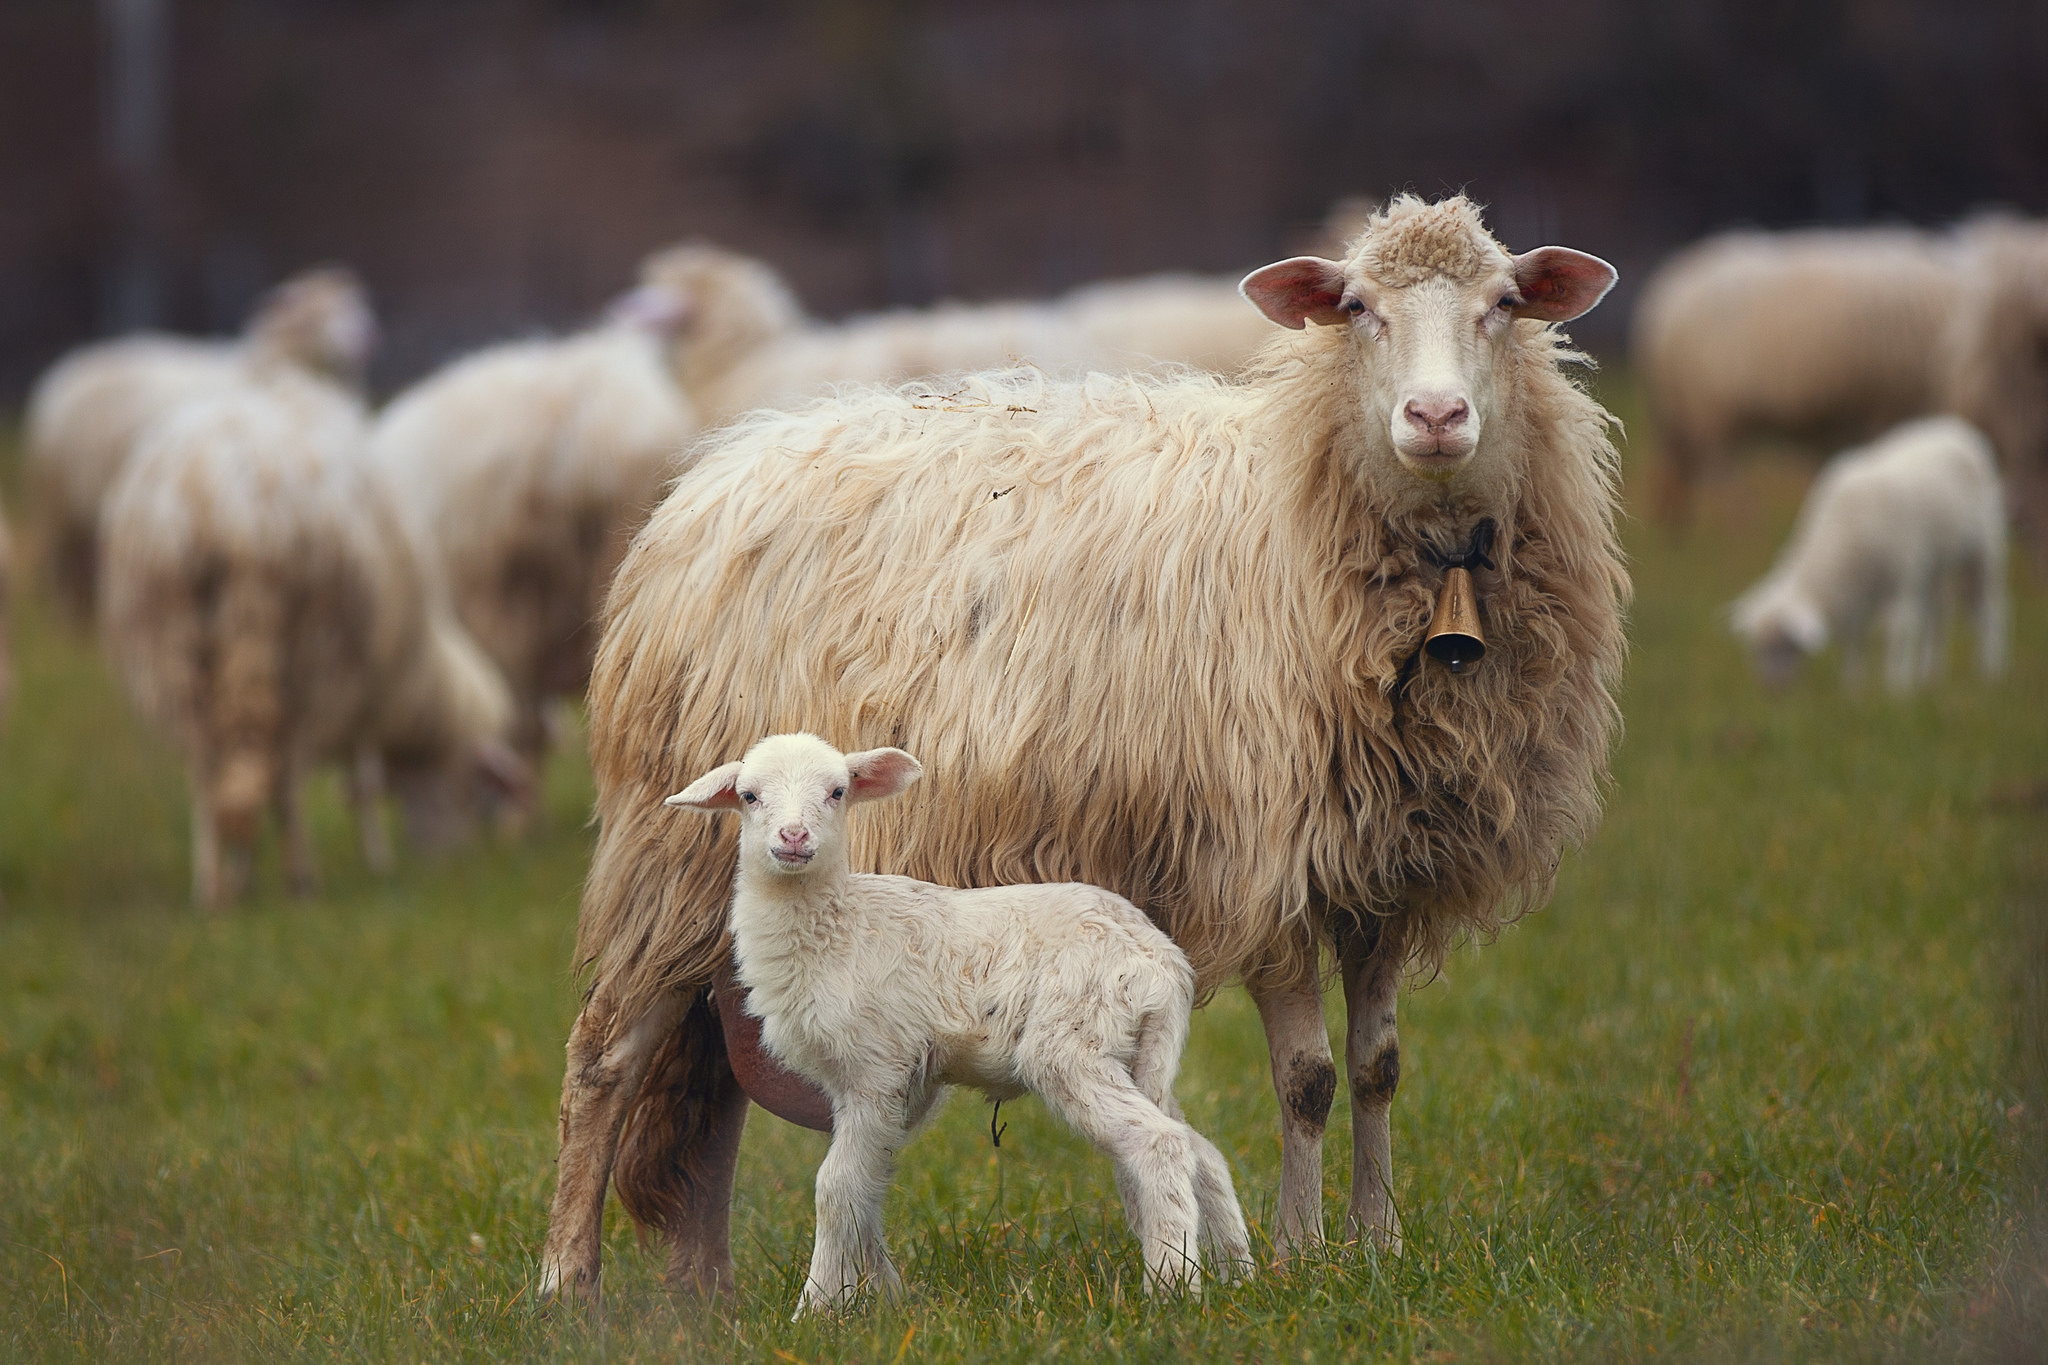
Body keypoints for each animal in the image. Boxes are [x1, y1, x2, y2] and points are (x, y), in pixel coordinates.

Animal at [663, 736, 1253, 1309]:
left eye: (836, 792)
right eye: (749, 796)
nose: (793, 836)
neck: (836, 927)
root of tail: (1163, 963)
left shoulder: (877, 1065)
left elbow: (836, 1186)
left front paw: (817, 1307)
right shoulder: (883, 1083)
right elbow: (866, 1184)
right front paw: (882, 1298)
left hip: (1073, 1042)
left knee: (1161, 1145)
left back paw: (1171, 1288)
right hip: (1136, 1051)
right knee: (1202, 1153)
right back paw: (1237, 1276)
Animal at [1728, 413, 1998, 695]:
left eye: (1785, 643)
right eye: (1756, 648)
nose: (1770, 690)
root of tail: (1953, 426)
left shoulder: (1900, 578)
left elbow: (1897, 635)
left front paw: (1896, 688)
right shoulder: (1858, 592)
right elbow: (1855, 642)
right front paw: (1852, 691)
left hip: (1983, 544)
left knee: (1987, 608)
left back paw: (1988, 672)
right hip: (1934, 564)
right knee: (1939, 615)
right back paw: (1930, 676)